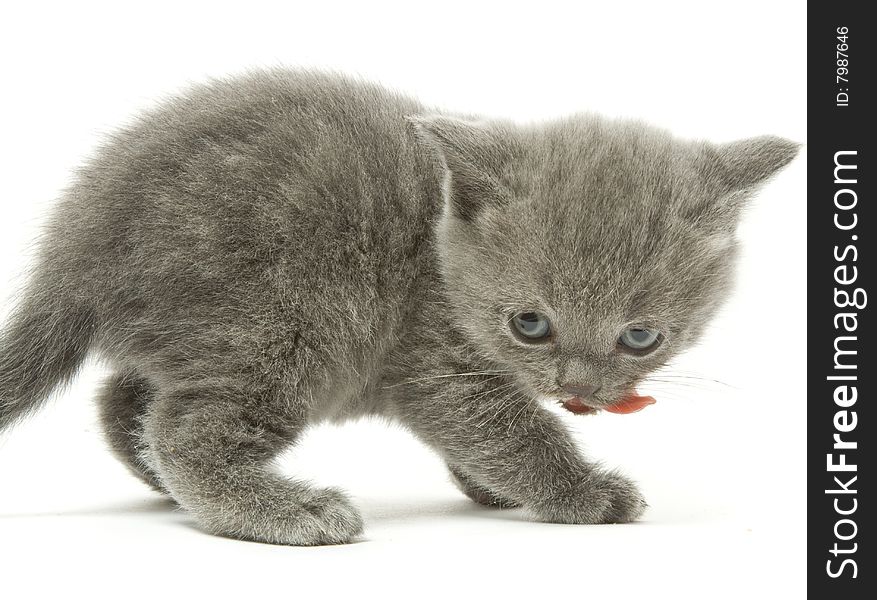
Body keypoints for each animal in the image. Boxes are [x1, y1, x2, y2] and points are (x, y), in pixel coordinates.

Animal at [0, 69, 792, 544]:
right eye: (530, 324)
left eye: (640, 337)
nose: (579, 389)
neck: (439, 251)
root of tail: (74, 246)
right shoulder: (435, 361)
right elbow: (511, 429)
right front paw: (584, 494)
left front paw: (492, 486)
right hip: (281, 328)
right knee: (184, 427)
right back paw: (286, 510)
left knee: (122, 400)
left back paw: (163, 485)